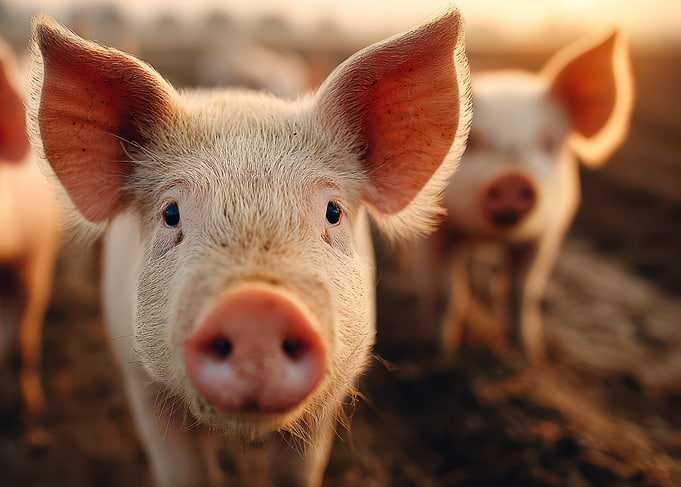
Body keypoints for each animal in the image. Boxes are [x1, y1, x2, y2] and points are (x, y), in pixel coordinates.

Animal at [417, 31, 634, 361]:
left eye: (549, 142)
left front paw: (530, 354)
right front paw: (441, 353)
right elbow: (444, 290)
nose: (512, 179)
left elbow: (523, 292)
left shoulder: (546, 236)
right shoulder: (440, 233)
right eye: (470, 141)